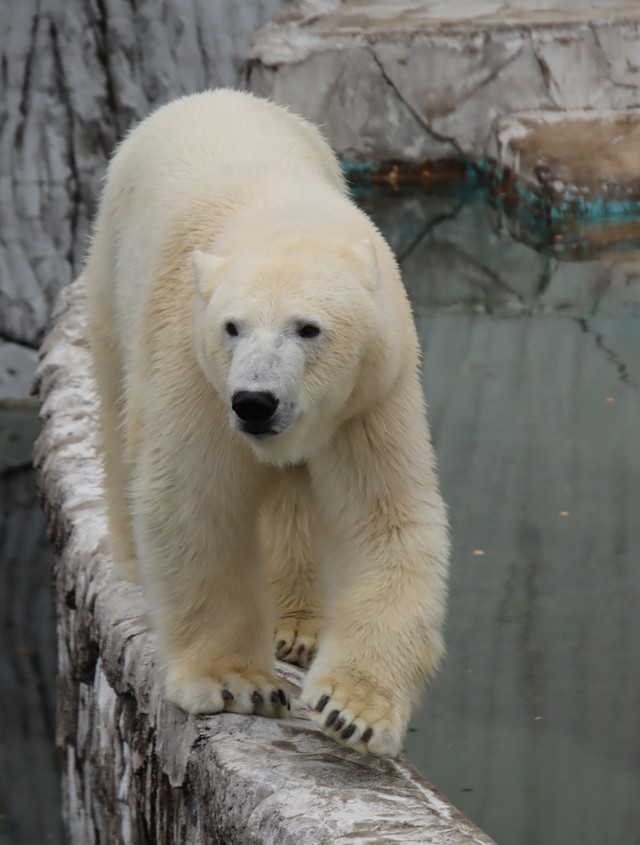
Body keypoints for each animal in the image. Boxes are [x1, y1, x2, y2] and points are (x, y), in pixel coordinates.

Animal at [86, 89, 450, 756]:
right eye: (233, 327)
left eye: (308, 328)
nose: (255, 402)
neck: (284, 222)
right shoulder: (196, 371)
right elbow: (195, 500)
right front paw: (238, 683)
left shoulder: (369, 396)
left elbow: (381, 519)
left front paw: (352, 710)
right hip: (114, 263)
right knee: (120, 413)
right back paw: (129, 558)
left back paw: (298, 625)